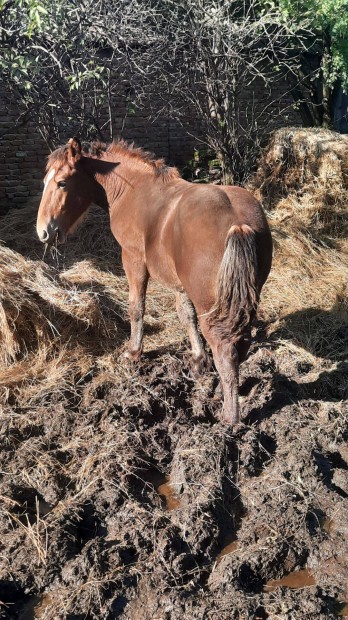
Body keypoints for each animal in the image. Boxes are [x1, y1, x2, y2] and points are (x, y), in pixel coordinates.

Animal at [36, 137, 274, 424]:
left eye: (62, 183)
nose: (43, 231)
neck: (134, 190)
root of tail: (238, 224)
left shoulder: (133, 259)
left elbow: (136, 307)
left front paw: (133, 352)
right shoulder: (179, 282)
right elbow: (186, 315)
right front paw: (198, 361)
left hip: (213, 308)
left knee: (226, 351)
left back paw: (230, 417)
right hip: (246, 301)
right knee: (242, 343)